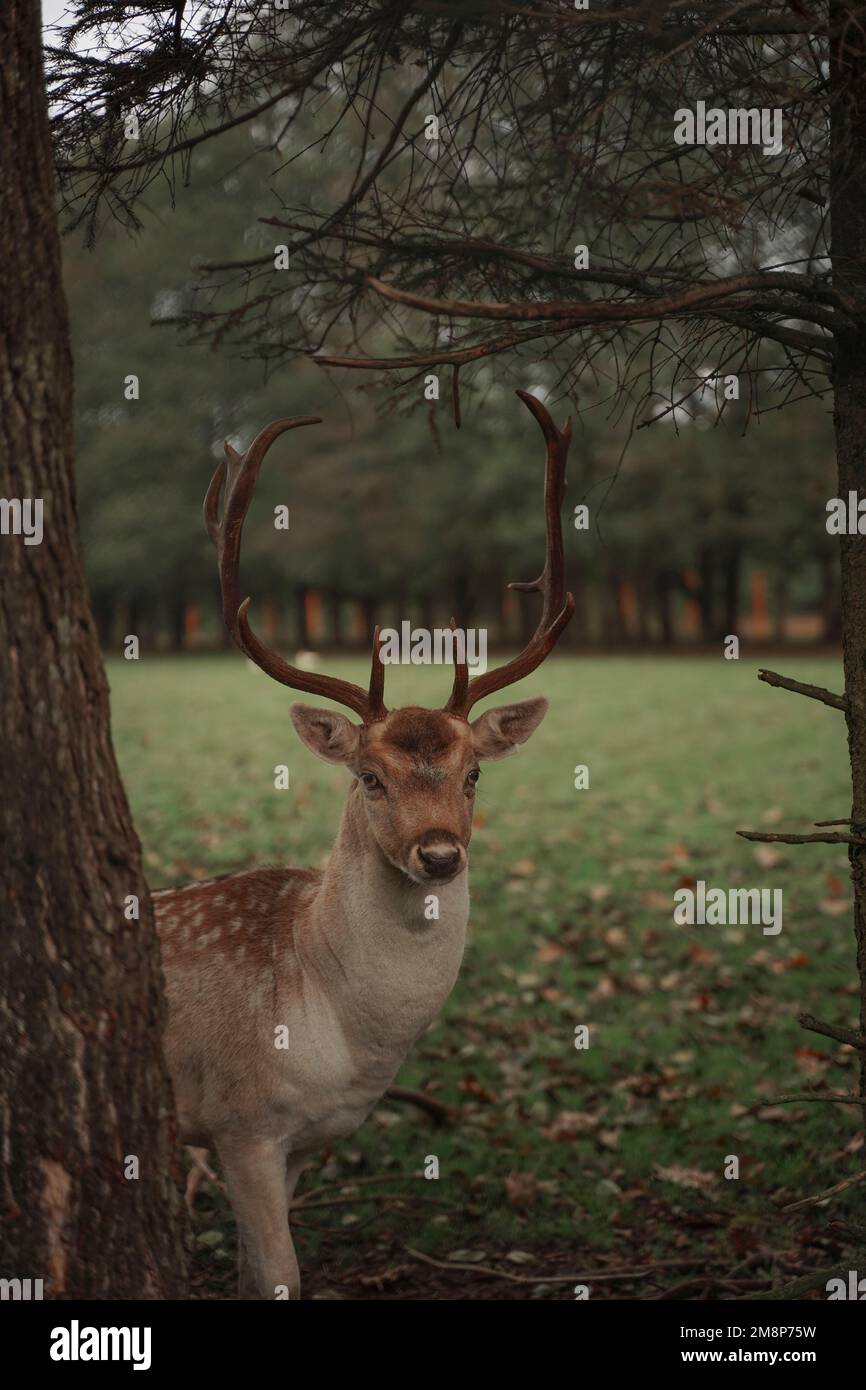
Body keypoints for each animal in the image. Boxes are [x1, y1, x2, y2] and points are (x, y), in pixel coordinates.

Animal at [154, 394, 575, 1301]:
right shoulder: (240, 1119)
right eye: (370, 777)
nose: (440, 855)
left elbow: (255, 1273)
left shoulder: (305, 1142)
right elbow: (280, 1274)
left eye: (474, 772)